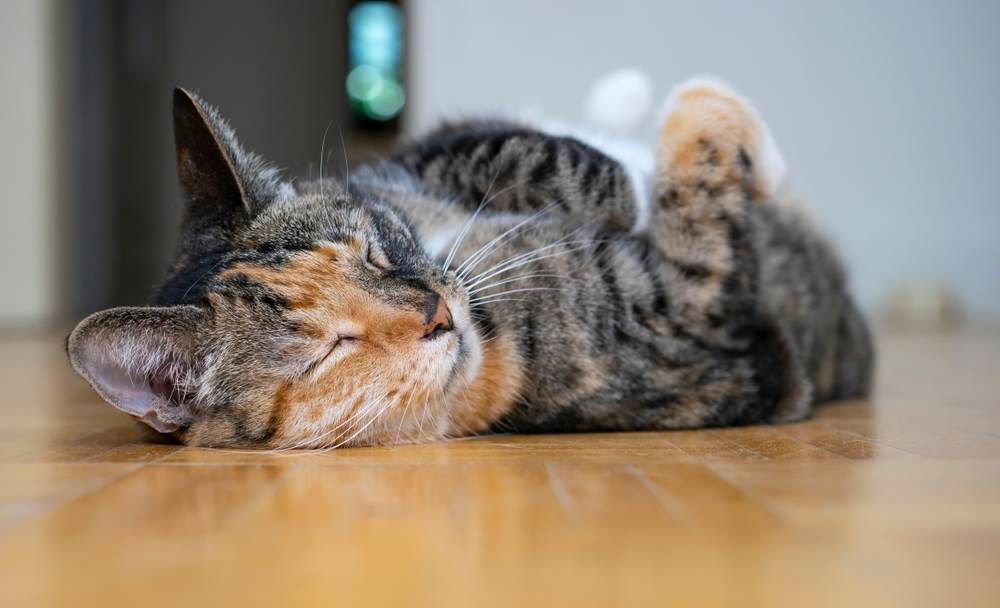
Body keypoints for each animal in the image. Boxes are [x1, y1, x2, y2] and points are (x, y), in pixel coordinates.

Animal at [66, 76, 872, 448]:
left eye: (371, 249)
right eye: (330, 350)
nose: (435, 311)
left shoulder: (415, 162)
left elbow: (526, 149)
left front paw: (620, 165)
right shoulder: (687, 310)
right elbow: (696, 166)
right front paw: (714, 143)